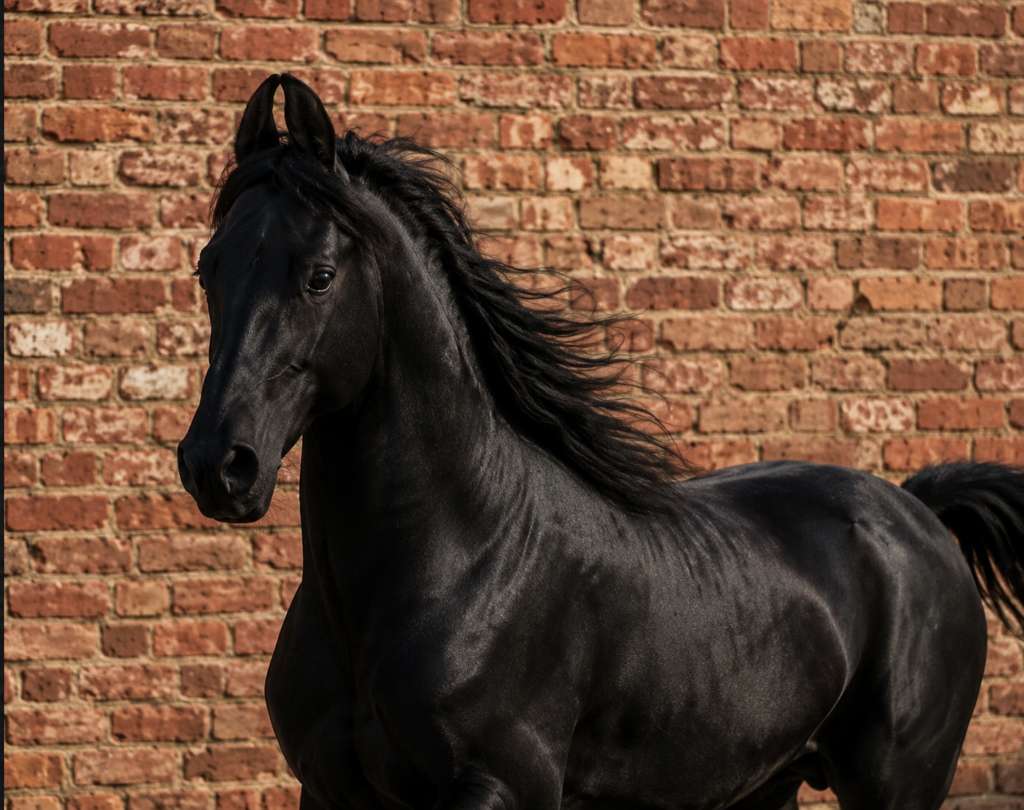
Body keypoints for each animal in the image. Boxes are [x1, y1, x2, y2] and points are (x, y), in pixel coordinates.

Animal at [178, 73, 1024, 810]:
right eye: (207, 268)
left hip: (897, 785)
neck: (453, 557)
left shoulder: (504, 786)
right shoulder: (327, 790)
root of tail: (918, 512)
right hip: (762, 785)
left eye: (319, 276)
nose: (219, 465)